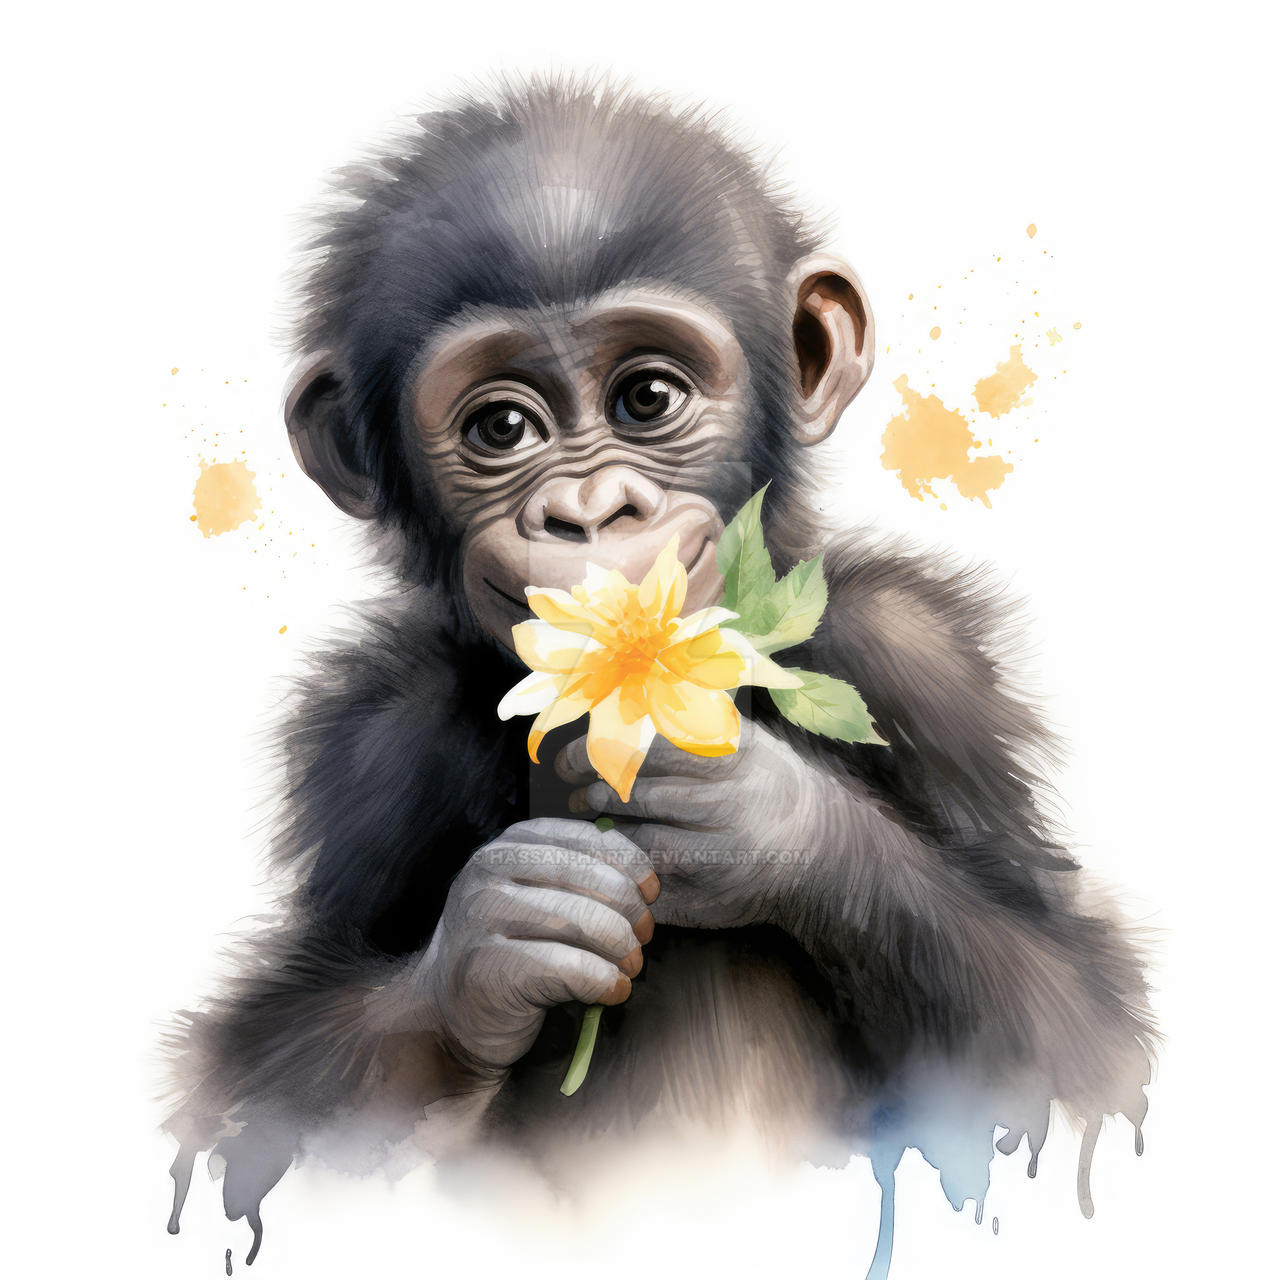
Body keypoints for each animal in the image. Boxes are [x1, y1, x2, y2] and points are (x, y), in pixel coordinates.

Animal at [163, 79, 1155, 1274]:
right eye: (502, 426)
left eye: (646, 398)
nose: (590, 514)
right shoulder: (368, 747)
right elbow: (249, 1083)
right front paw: (499, 944)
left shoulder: (923, 661)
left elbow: (1078, 1034)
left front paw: (772, 825)